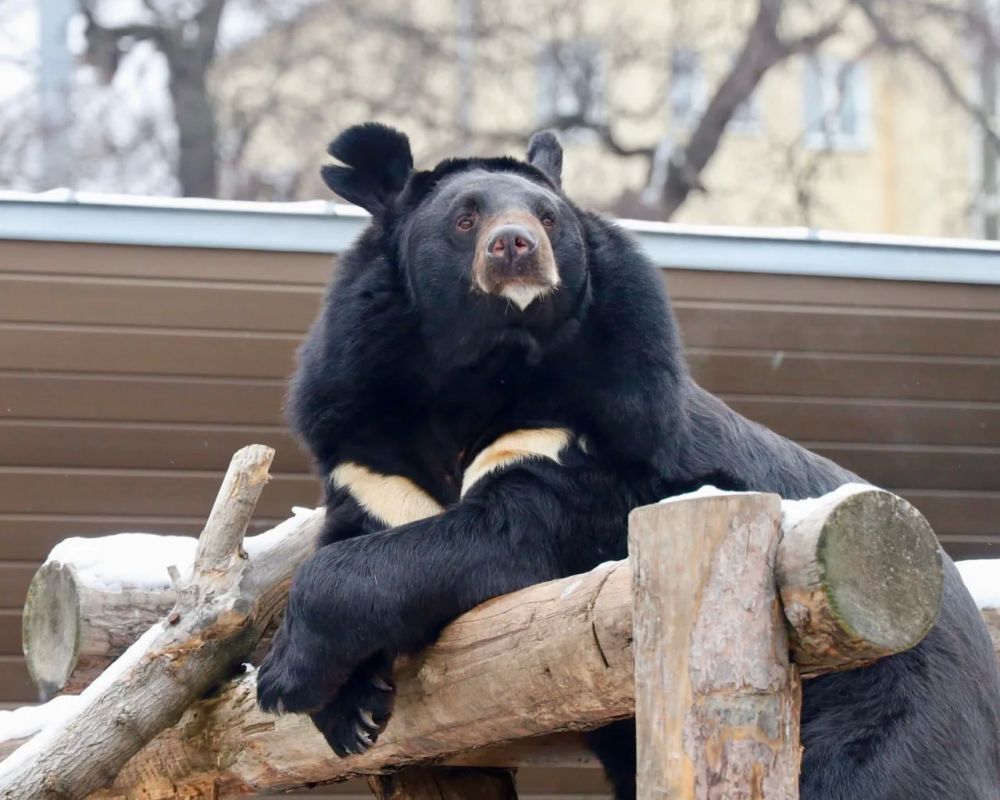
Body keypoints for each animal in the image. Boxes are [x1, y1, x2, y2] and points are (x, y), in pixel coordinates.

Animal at [256, 122, 1000, 799]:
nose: (515, 247)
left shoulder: (588, 427)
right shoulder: (368, 444)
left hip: (886, 705)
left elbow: (502, 537)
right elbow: (355, 538)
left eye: (548, 217)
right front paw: (350, 712)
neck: (479, 366)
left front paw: (282, 676)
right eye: (465, 219)